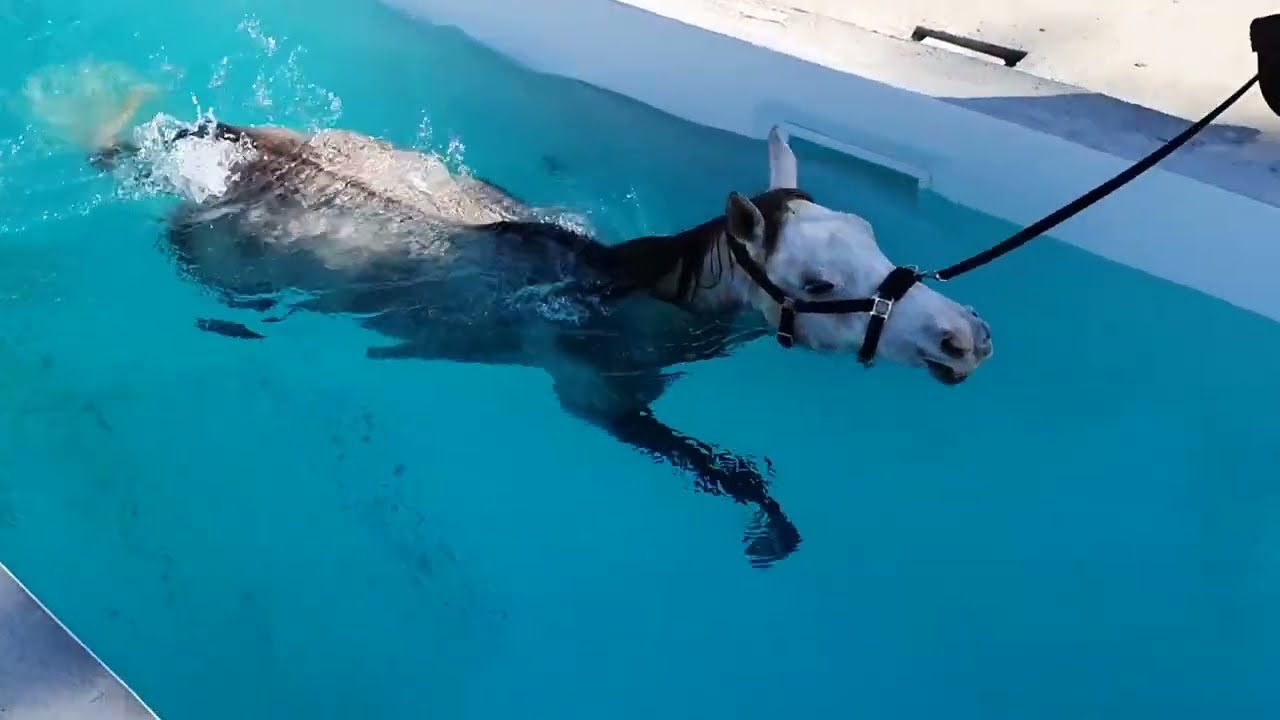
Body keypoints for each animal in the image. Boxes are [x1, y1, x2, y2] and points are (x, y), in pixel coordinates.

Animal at [61, 80, 993, 568]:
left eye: (874, 238)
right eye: (819, 280)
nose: (965, 339)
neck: (627, 292)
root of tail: (216, 145)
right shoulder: (595, 399)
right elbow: (724, 472)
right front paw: (770, 530)